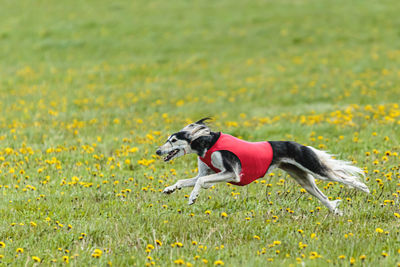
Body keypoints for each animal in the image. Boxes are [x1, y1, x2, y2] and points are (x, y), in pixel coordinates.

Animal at [155, 118, 368, 215]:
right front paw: (170, 189)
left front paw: (193, 197)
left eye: (173, 140)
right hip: (303, 179)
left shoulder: (232, 173)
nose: (157, 151)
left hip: (313, 168)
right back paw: (336, 212)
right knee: (323, 197)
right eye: (167, 139)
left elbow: (202, 182)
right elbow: (185, 180)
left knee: (343, 176)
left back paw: (363, 188)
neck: (206, 143)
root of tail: (299, 145)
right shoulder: (208, 172)